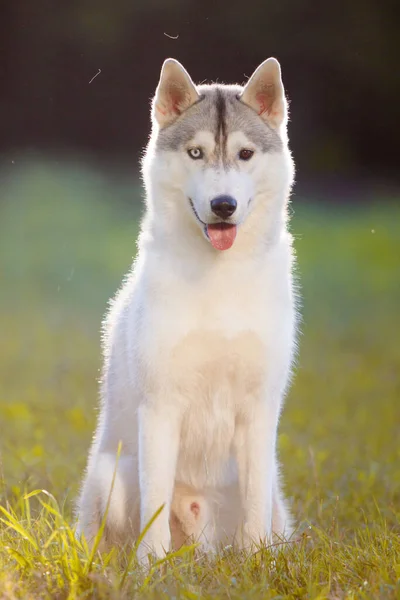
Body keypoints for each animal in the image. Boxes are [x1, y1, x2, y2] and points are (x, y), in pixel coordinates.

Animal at [76, 56, 298, 556]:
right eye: (196, 153)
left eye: (245, 155)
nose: (223, 204)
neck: (220, 277)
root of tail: (203, 547)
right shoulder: (160, 406)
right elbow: (155, 499)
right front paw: (152, 562)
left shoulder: (260, 409)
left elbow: (255, 501)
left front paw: (259, 561)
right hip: (110, 474)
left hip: (276, 495)